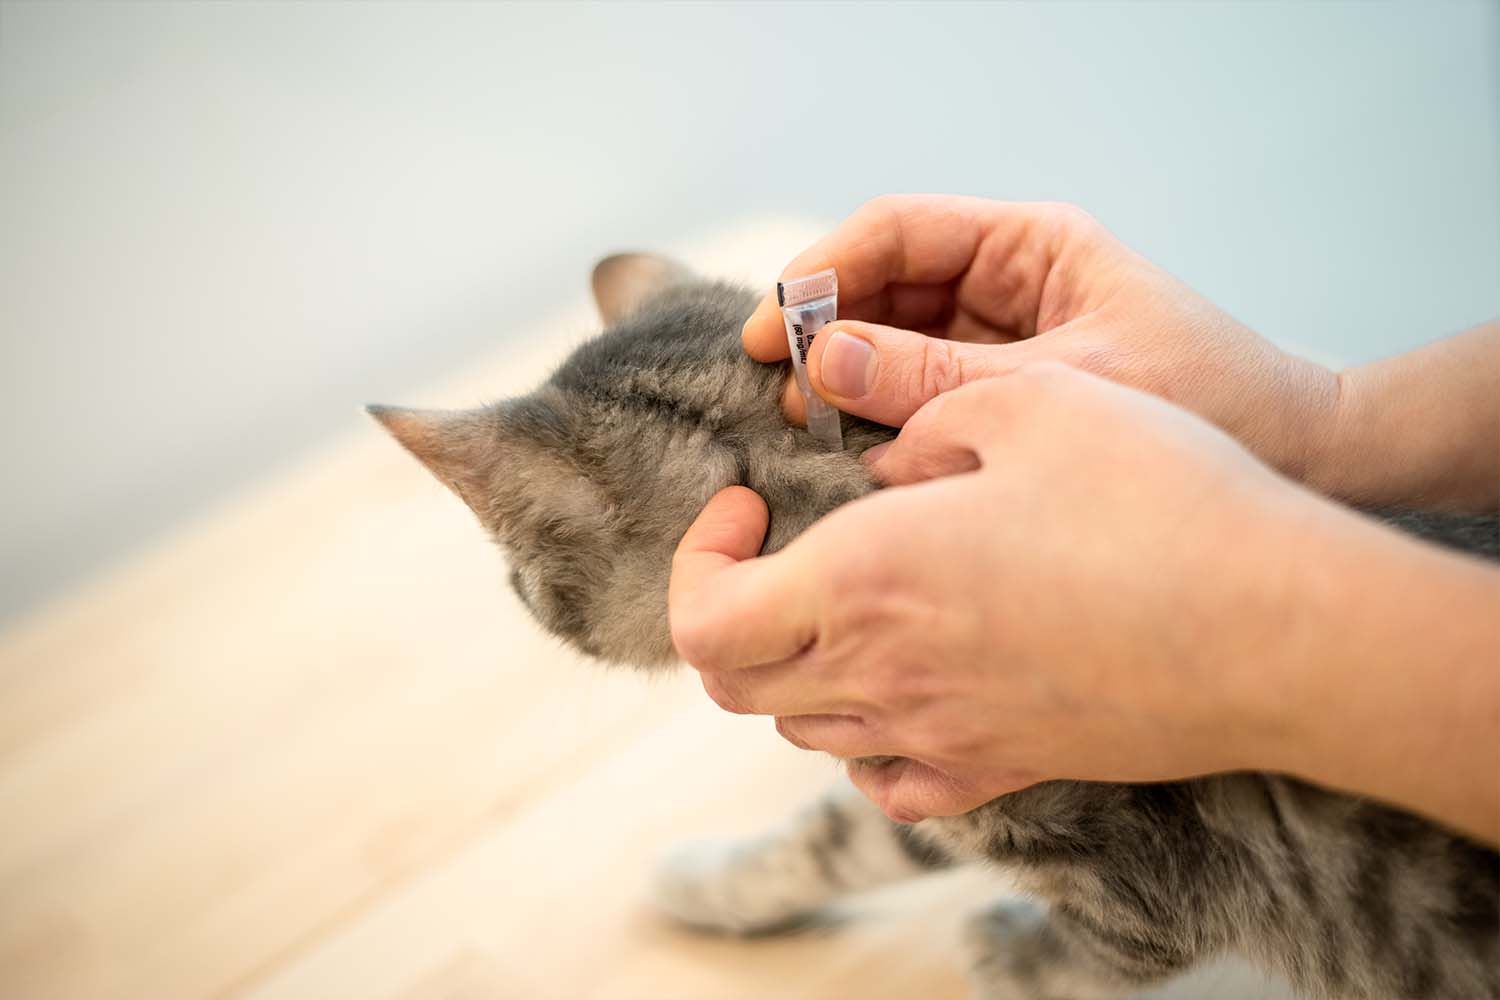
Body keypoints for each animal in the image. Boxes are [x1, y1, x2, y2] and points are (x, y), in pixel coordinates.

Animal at [366, 254, 1500, 995]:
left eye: (517, 578)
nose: (514, 591)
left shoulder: (1133, 880)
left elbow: (1095, 955)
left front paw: (1011, 950)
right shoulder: (920, 763)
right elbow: (839, 835)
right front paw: (711, 882)